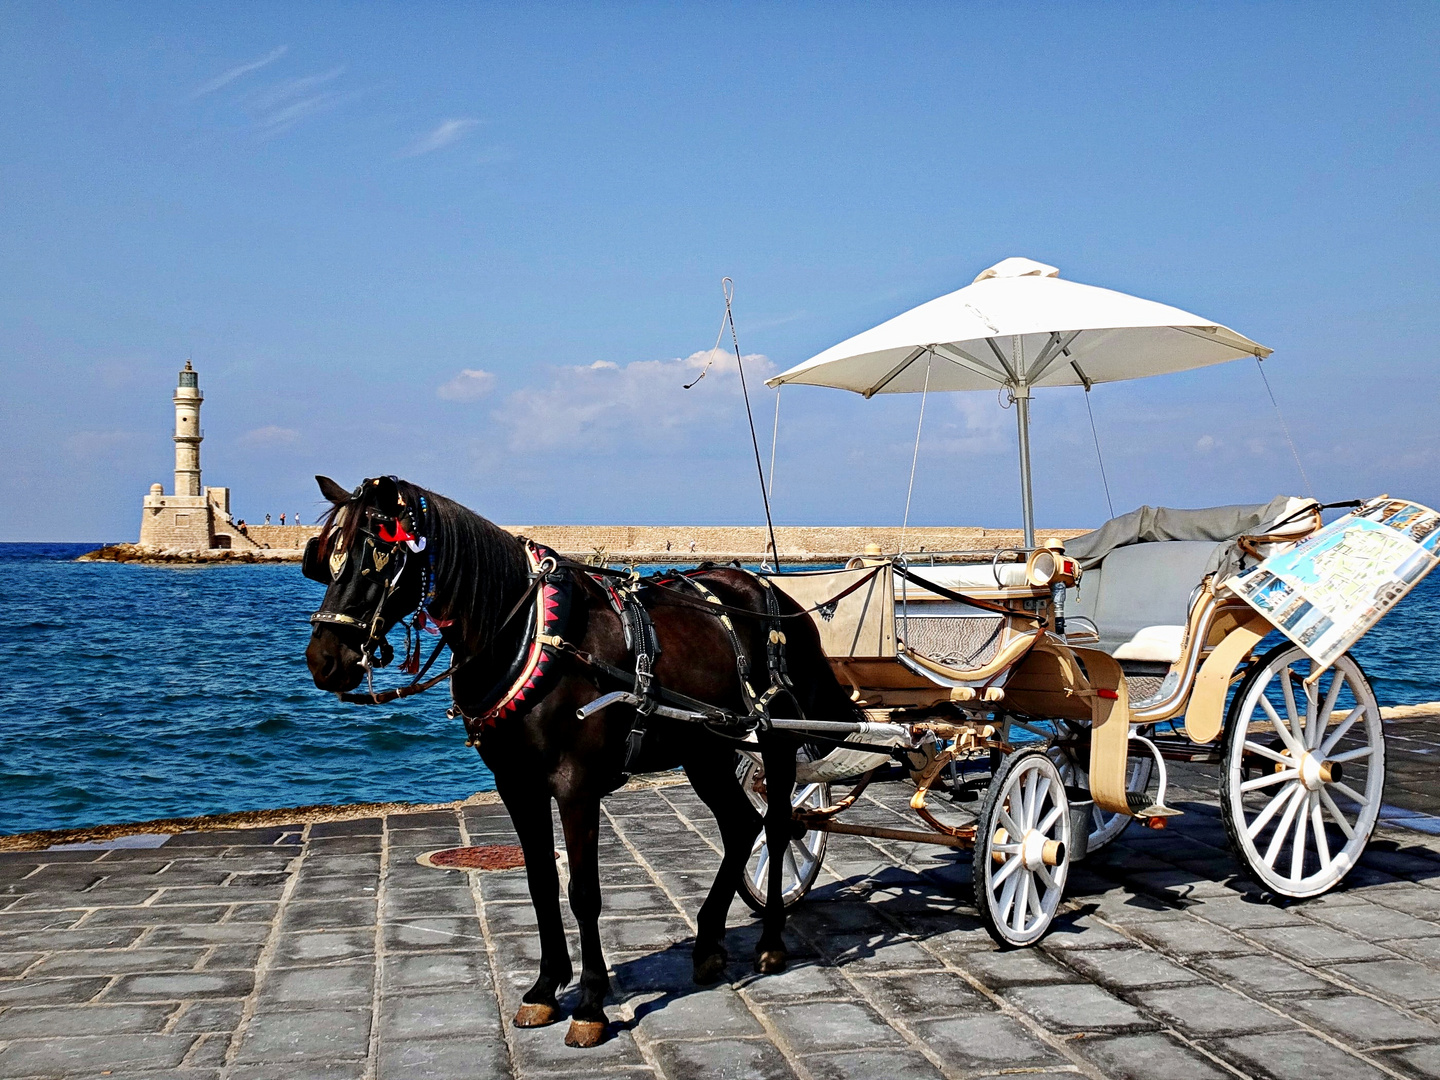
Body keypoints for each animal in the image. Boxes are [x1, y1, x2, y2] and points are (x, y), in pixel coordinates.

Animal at [300, 475, 852, 1048]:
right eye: (323, 560)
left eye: (378, 556)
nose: (324, 660)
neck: (528, 636)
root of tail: (777, 596)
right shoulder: (516, 785)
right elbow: (541, 882)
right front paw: (545, 989)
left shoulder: (576, 787)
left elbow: (583, 891)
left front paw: (589, 1004)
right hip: (705, 749)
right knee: (742, 826)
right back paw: (707, 946)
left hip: (777, 738)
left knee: (779, 824)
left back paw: (771, 941)